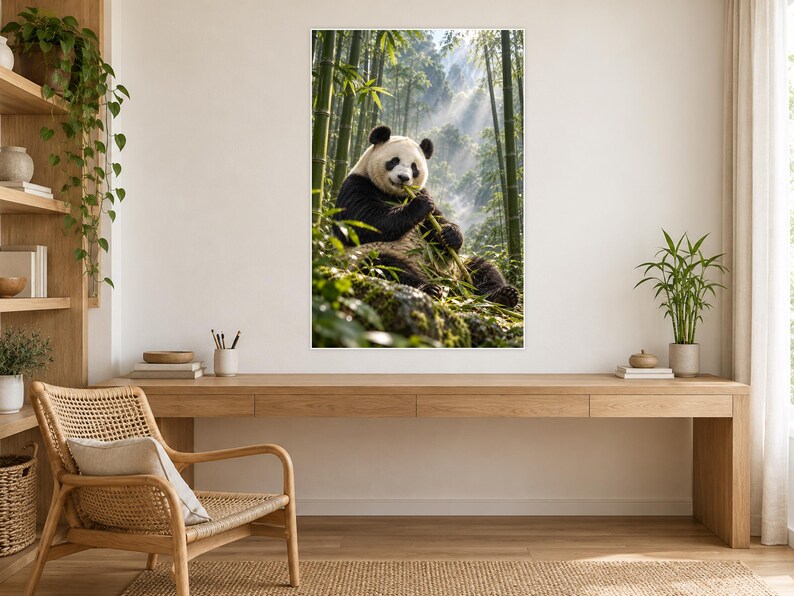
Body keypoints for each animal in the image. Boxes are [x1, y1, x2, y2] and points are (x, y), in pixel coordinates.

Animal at [333, 125, 520, 308]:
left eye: (414, 167)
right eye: (394, 161)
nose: (403, 178)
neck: (395, 195)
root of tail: (448, 283)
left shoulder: (421, 192)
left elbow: (435, 224)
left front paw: (451, 234)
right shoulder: (357, 185)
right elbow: (365, 222)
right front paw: (420, 205)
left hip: (454, 267)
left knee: (482, 268)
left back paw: (503, 295)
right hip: (372, 256)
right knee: (389, 268)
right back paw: (429, 289)